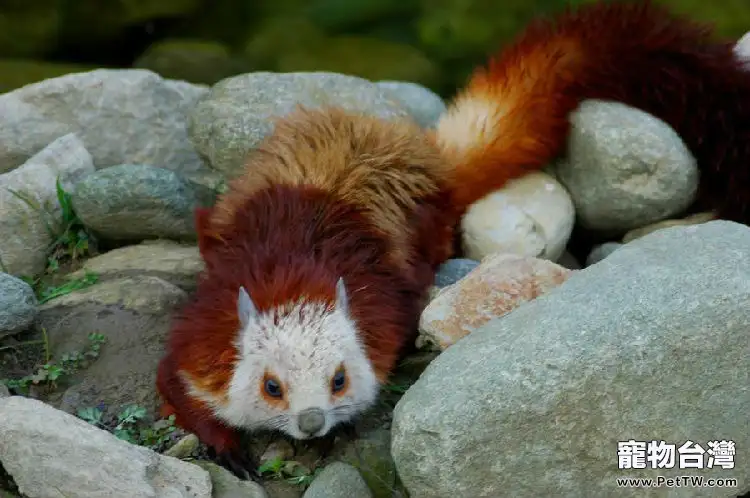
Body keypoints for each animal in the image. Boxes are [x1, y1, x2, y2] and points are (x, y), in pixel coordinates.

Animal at [157, 0, 750, 478]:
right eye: (271, 386)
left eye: (339, 379)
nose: (310, 420)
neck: (294, 276)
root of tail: (423, 156)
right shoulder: (200, 347)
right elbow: (176, 389)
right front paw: (224, 444)